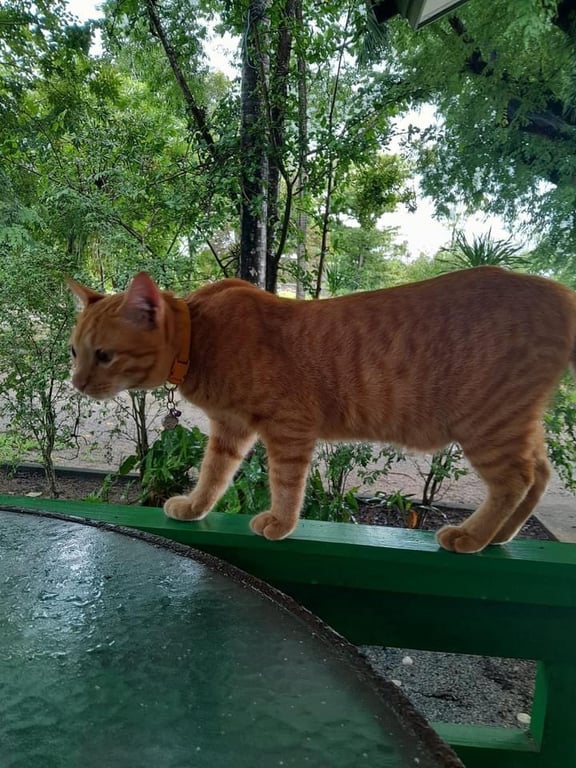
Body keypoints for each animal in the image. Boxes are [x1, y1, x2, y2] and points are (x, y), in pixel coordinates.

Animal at [67, 266, 576, 553]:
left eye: (104, 355)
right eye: (75, 351)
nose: (76, 383)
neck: (203, 335)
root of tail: (558, 292)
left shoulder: (288, 429)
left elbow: (285, 483)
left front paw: (279, 523)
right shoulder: (230, 430)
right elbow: (213, 475)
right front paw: (194, 507)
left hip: (486, 424)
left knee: (515, 480)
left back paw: (472, 536)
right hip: (511, 423)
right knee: (540, 472)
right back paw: (502, 536)